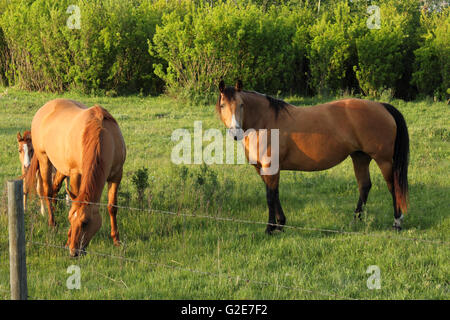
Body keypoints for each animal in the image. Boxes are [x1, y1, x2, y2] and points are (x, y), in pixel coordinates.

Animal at [25, 99, 126, 256]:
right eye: (70, 219)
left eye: (85, 222)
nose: (73, 252)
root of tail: (44, 107)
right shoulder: (75, 174)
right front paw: (67, 239)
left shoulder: (116, 175)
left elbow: (112, 207)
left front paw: (116, 240)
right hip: (44, 159)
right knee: (48, 191)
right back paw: (52, 223)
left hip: (62, 167)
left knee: (55, 188)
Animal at [216, 80, 410, 232]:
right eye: (223, 105)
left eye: (241, 105)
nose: (235, 132)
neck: (265, 121)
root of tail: (381, 106)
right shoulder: (262, 168)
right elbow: (274, 193)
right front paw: (280, 224)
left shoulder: (270, 166)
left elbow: (270, 196)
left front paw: (270, 228)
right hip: (360, 157)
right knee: (364, 186)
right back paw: (355, 221)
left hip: (384, 160)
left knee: (393, 186)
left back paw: (396, 223)